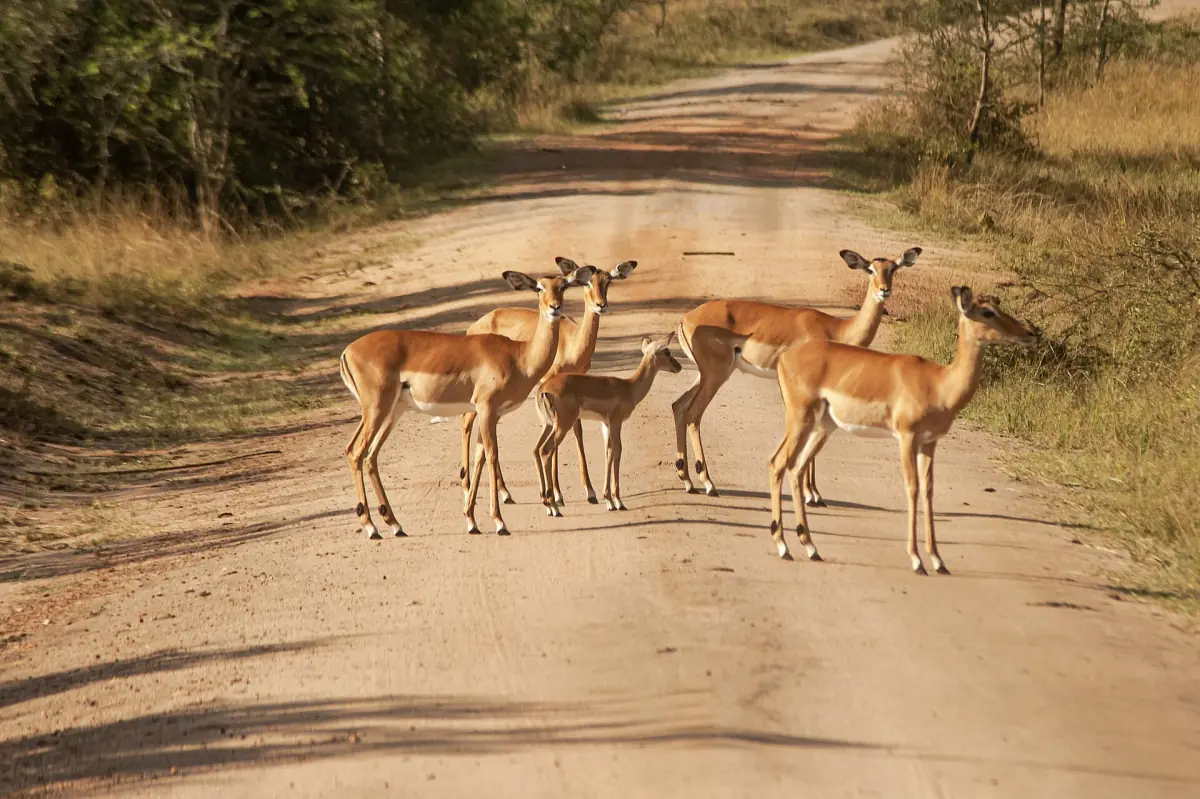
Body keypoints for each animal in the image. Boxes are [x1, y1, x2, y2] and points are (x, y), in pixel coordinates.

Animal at [339, 264, 595, 538]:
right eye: (538, 288)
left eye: (563, 286)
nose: (554, 308)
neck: (519, 356)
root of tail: (347, 351)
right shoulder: (487, 409)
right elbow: (492, 454)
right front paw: (499, 522)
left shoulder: (488, 413)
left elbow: (479, 456)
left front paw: (471, 521)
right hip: (377, 409)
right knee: (356, 453)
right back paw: (371, 527)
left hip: (392, 411)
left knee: (368, 456)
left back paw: (395, 525)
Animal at [460, 258, 637, 506]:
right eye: (587, 283)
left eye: (608, 282)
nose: (600, 305)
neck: (571, 344)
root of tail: (473, 328)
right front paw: (557, 493)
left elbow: (578, 430)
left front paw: (589, 490)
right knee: (466, 421)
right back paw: (470, 489)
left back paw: (505, 492)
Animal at [534, 334, 683, 516]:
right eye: (667, 351)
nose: (679, 366)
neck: (629, 388)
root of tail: (543, 389)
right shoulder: (616, 422)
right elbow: (617, 452)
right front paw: (618, 501)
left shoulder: (605, 424)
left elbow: (608, 452)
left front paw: (608, 500)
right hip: (562, 425)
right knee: (545, 450)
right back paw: (554, 506)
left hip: (548, 425)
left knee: (536, 450)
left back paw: (548, 505)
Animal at [673, 247, 922, 502]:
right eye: (870, 269)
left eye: (893, 268)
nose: (884, 290)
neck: (836, 330)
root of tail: (686, 319)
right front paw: (811, 494)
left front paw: (813, 492)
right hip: (716, 374)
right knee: (693, 414)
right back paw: (708, 483)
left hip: (706, 375)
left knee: (678, 406)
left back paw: (688, 481)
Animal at [768, 286, 1037, 573]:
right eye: (987, 312)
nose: (1029, 333)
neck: (940, 384)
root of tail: (784, 358)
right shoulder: (907, 438)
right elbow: (912, 488)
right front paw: (917, 560)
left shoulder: (930, 443)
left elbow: (929, 492)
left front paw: (938, 560)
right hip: (801, 420)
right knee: (778, 464)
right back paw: (784, 547)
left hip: (822, 427)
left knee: (794, 469)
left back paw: (811, 548)